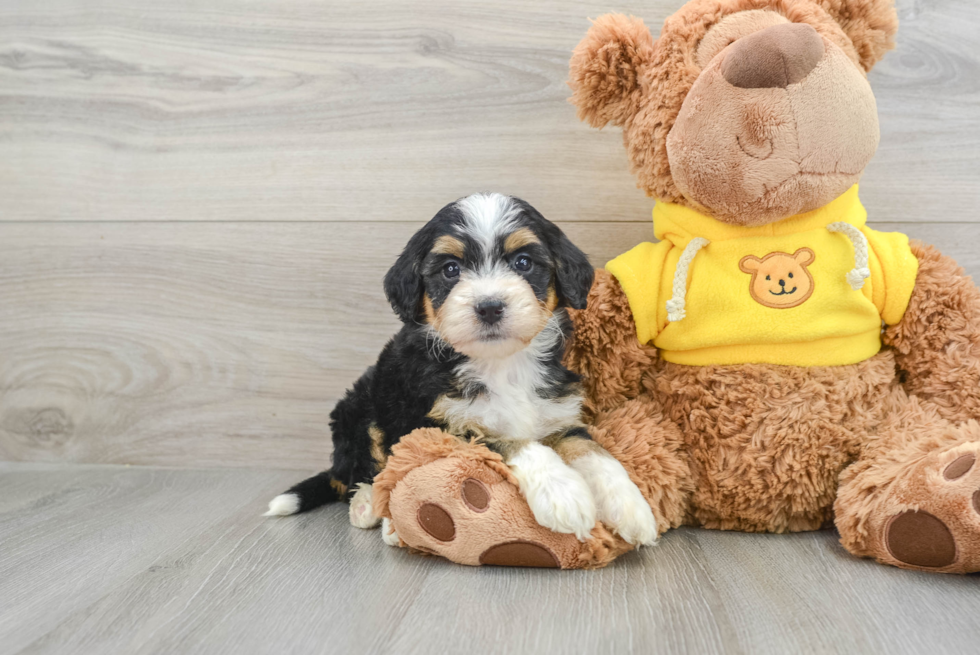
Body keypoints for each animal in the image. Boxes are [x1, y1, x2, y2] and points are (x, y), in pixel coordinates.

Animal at [264, 193, 656, 548]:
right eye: (451, 269)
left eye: (523, 263)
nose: (489, 307)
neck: (501, 363)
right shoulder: (441, 427)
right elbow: (510, 441)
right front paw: (563, 493)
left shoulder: (558, 411)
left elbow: (591, 450)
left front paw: (630, 506)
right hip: (359, 407)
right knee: (358, 470)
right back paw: (369, 509)